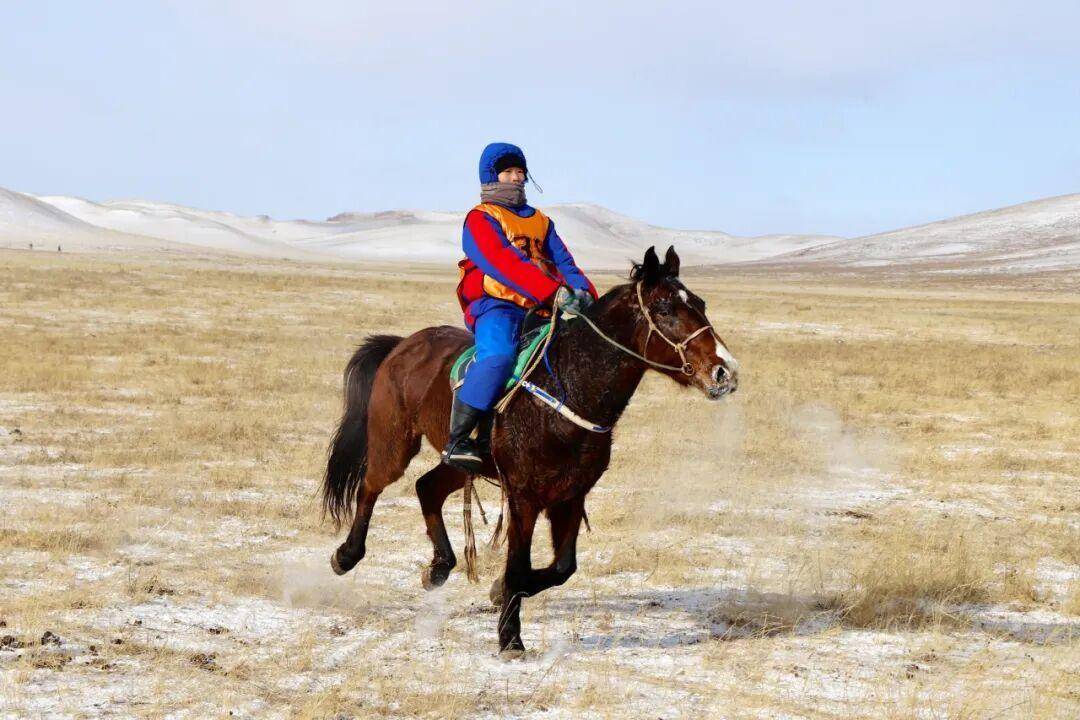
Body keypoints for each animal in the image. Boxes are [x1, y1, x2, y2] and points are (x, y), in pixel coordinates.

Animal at [322, 245, 740, 655]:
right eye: (665, 309)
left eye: (700, 303)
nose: (725, 372)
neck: (568, 387)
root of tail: (402, 345)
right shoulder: (524, 497)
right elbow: (520, 566)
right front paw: (510, 638)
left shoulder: (570, 496)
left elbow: (561, 568)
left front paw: (497, 592)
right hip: (395, 443)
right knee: (371, 486)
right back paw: (346, 556)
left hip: (463, 463)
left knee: (427, 487)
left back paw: (439, 567)